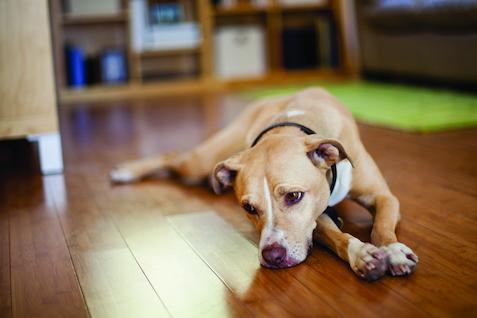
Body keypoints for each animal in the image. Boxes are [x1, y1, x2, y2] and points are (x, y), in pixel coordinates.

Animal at [110, 87, 416, 280]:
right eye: (249, 208)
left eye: (294, 196)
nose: (272, 256)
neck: (293, 125)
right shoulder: (313, 221)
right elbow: (335, 235)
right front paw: (361, 254)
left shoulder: (383, 196)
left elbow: (382, 226)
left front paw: (393, 252)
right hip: (203, 161)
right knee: (174, 156)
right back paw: (126, 171)